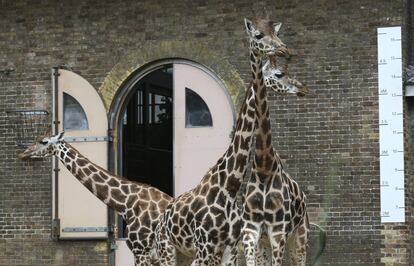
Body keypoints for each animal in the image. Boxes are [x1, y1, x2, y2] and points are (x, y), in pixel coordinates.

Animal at [152, 17, 288, 266]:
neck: (230, 187)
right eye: (258, 36)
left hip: (184, 254)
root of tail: (160, 222)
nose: (284, 49)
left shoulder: (230, 247)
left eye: (276, 33)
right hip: (168, 250)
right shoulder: (206, 246)